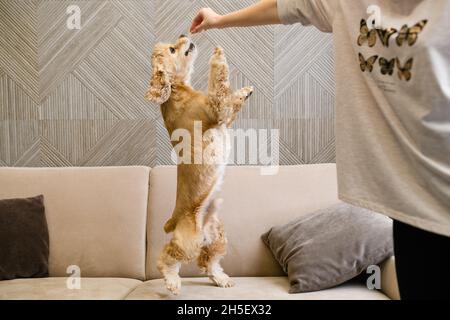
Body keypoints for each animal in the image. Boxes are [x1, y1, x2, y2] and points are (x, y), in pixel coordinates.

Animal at [147, 35, 253, 296]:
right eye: (172, 49)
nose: (184, 34)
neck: (177, 89)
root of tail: (175, 219)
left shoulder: (224, 116)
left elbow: (232, 99)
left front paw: (246, 91)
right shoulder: (216, 108)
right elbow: (220, 83)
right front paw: (217, 55)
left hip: (217, 237)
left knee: (209, 262)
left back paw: (222, 279)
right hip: (188, 241)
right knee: (167, 257)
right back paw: (172, 281)